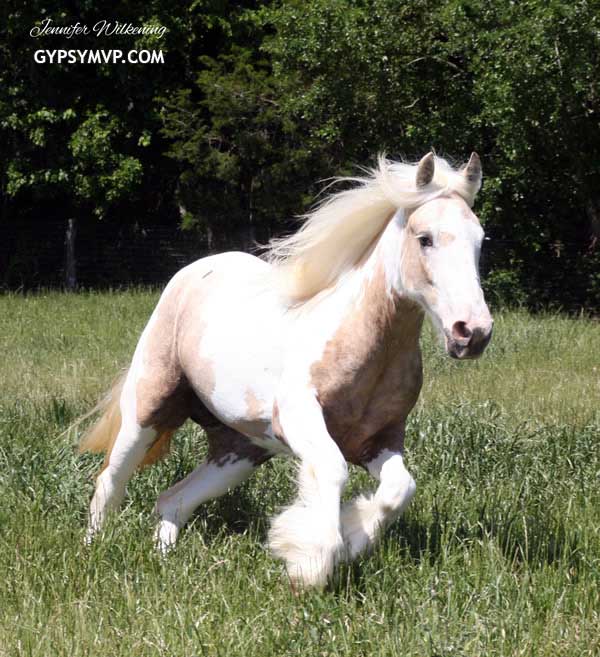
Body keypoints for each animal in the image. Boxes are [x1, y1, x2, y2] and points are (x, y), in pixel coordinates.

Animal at [80, 152, 493, 588]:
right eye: (424, 238)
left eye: (480, 240)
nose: (472, 332)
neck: (367, 347)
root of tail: (193, 271)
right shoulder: (300, 419)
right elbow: (332, 470)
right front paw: (309, 566)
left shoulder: (379, 440)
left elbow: (400, 487)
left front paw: (350, 540)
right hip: (149, 411)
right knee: (110, 481)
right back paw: (93, 551)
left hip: (240, 451)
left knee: (174, 499)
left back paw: (164, 558)